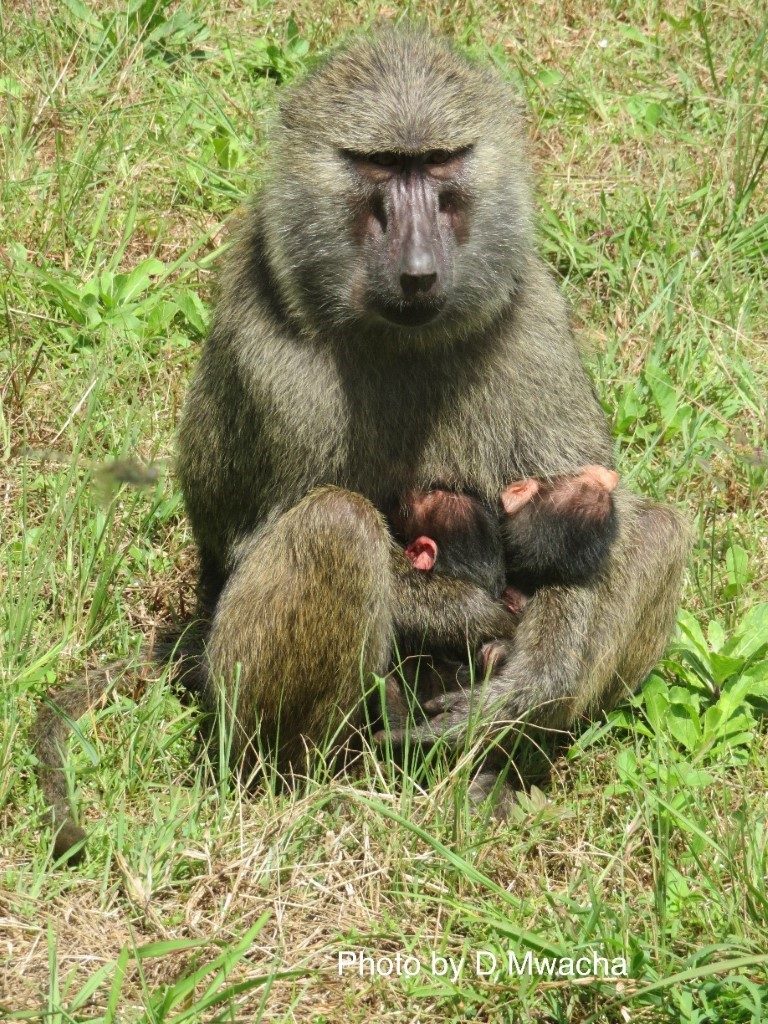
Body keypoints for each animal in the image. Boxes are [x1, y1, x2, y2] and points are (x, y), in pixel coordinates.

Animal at [34, 28, 689, 857]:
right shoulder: (273, 358)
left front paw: (529, 681)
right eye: (379, 167)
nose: (418, 270)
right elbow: (257, 540)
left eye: (438, 164)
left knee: (657, 527)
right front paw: (468, 614)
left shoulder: (533, 313)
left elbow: (586, 521)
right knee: (334, 525)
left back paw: (499, 770)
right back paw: (298, 790)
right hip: (237, 690)